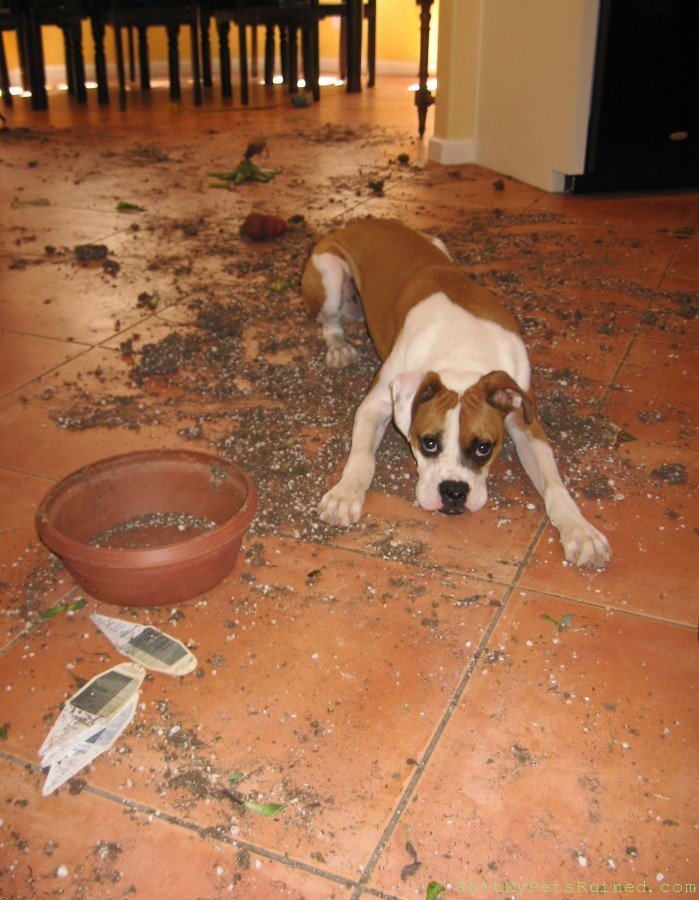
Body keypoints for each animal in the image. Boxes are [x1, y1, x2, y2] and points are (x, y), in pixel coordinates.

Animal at [302, 219, 612, 568]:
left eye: (484, 448)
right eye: (428, 443)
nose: (453, 492)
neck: (462, 353)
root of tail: (362, 221)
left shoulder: (525, 422)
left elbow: (555, 485)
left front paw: (580, 531)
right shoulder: (374, 404)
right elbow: (361, 457)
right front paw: (344, 493)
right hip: (329, 273)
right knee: (330, 323)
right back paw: (339, 348)